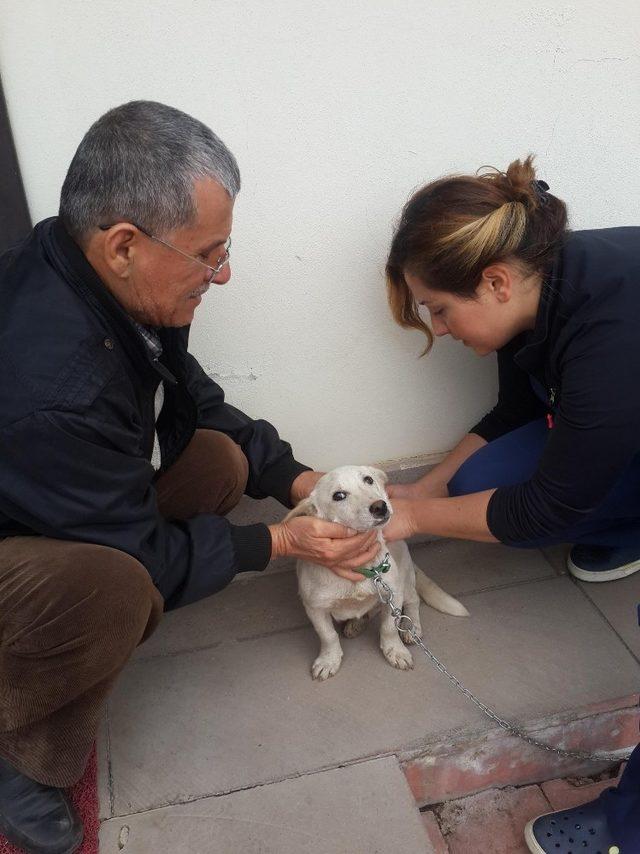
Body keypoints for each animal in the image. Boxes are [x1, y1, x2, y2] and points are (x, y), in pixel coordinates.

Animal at [286, 468, 470, 684]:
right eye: (338, 495)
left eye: (368, 480)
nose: (380, 506)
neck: (361, 567)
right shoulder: (314, 608)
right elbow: (328, 635)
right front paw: (328, 660)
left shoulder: (393, 595)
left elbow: (388, 627)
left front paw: (395, 651)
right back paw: (357, 624)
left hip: (405, 580)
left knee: (413, 601)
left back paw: (411, 627)